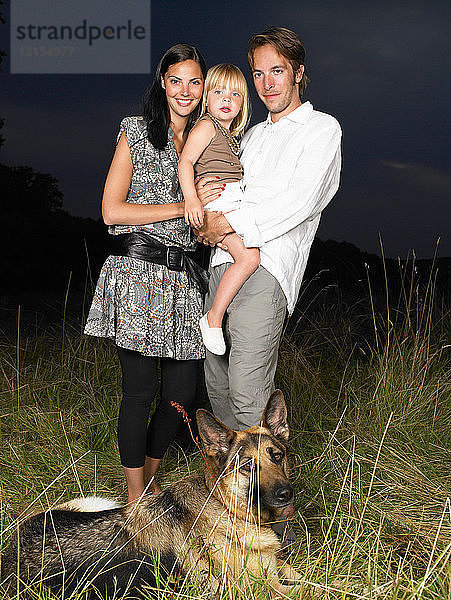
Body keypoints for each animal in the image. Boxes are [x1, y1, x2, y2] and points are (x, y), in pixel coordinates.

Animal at [2, 392, 304, 596]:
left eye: (277, 456)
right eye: (247, 467)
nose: (286, 494)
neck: (224, 506)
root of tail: (14, 549)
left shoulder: (276, 571)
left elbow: (299, 573)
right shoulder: (267, 589)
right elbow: (311, 588)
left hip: (94, 504)